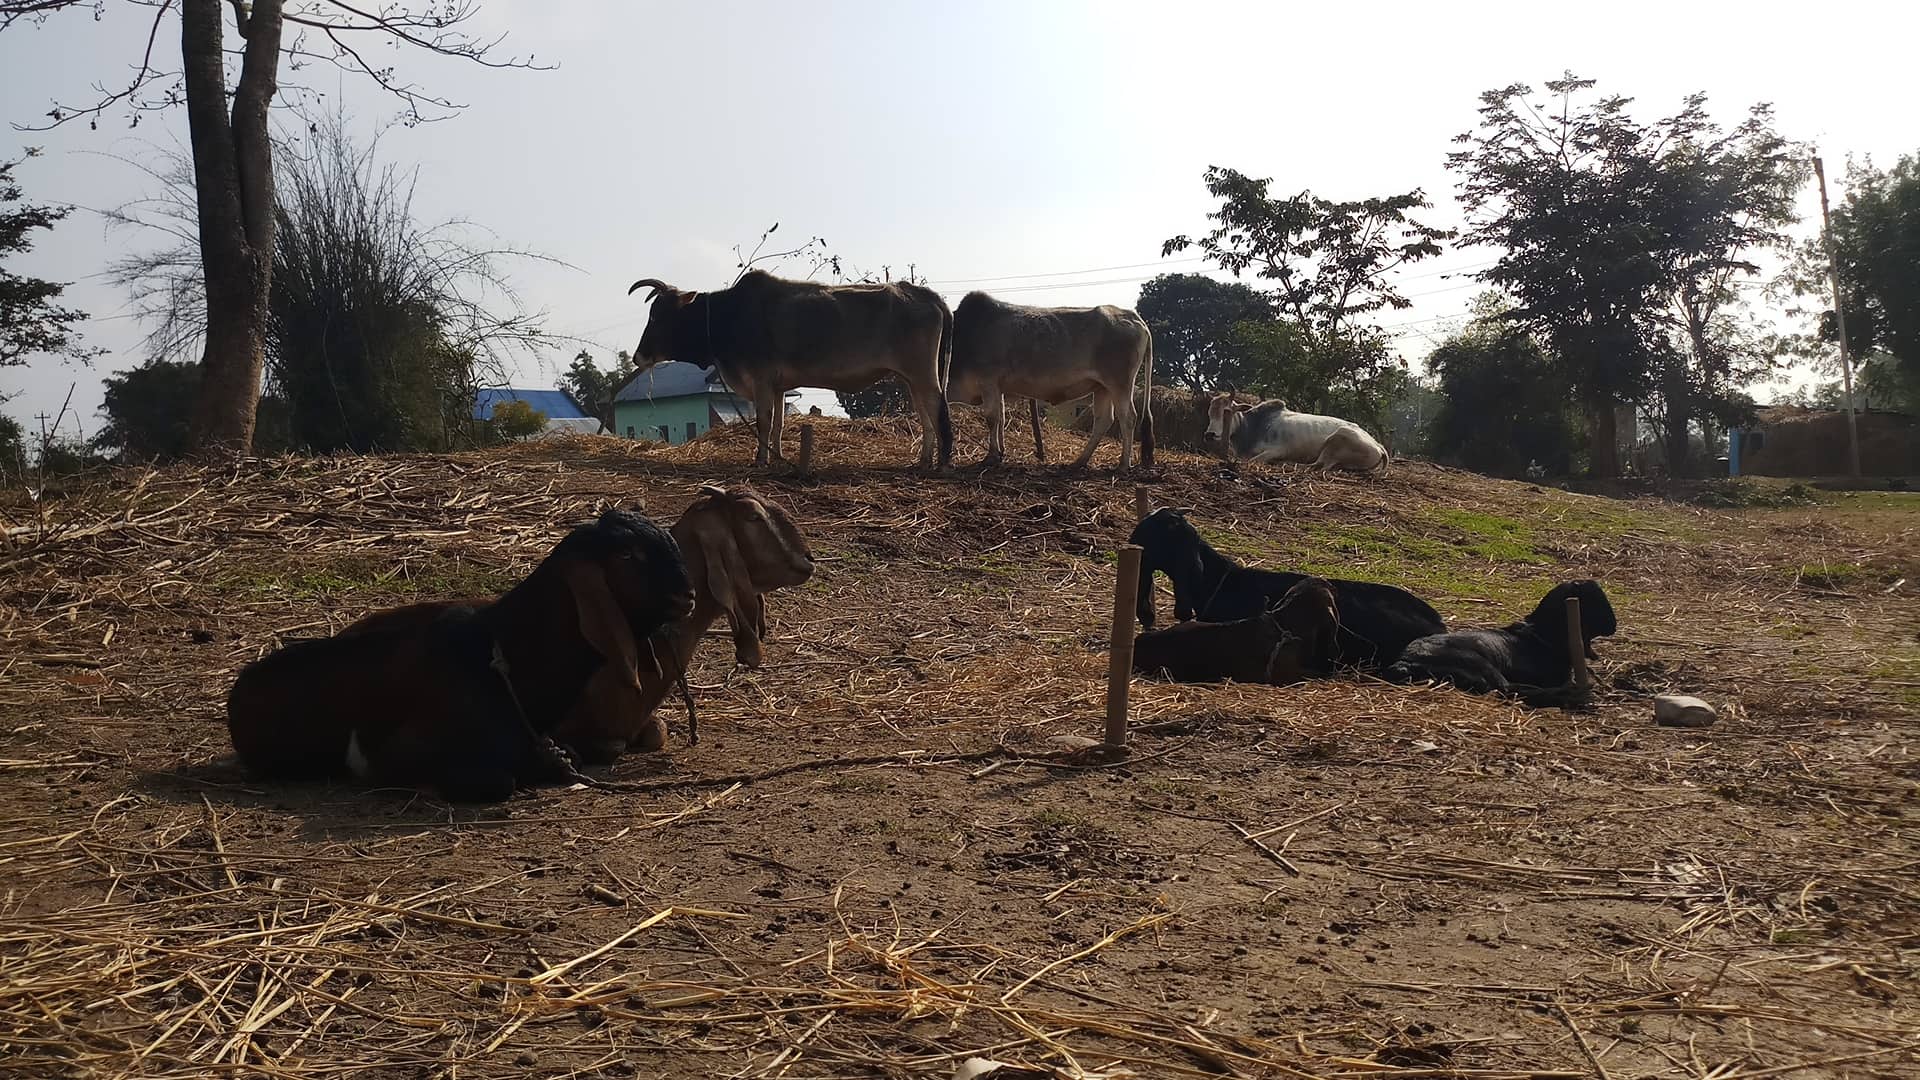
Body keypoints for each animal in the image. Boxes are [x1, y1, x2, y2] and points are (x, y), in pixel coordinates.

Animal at [628, 270, 953, 470]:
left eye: (657, 316)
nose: (637, 356)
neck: (726, 315)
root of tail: (928, 296)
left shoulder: (760, 380)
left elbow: (763, 422)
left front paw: (760, 459)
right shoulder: (778, 387)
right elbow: (778, 425)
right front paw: (777, 457)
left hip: (923, 375)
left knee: (938, 408)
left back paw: (943, 462)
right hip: (911, 379)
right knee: (925, 415)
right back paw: (924, 460)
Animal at [947, 292, 1155, 470]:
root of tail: (1135, 318)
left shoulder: (988, 382)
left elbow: (991, 418)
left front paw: (990, 456)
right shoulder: (998, 388)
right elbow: (1001, 418)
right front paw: (1000, 453)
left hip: (1120, 384)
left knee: (1128, 417)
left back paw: (1123, 464)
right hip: (1102, 388)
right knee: (1103, 420)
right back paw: (1079, 461)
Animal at [1202, 395, 1389, 474]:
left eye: (1227, 412)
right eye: (1210, 413)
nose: (1210, 434)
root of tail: (1379, 446)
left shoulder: (1276, 450)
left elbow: (1251, 461)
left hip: (1338, 438)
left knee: (1320, 465)